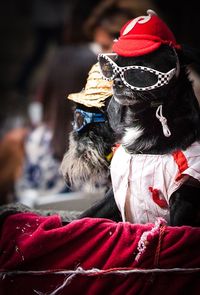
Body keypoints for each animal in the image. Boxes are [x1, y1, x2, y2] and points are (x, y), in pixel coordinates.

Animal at [97, 9, 200, 227]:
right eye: (114, 65)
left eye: (139, 71)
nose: (116, 81)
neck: (142, 117)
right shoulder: (114, 194)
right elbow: (84, 216)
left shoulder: (184, 196)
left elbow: (176, 229)